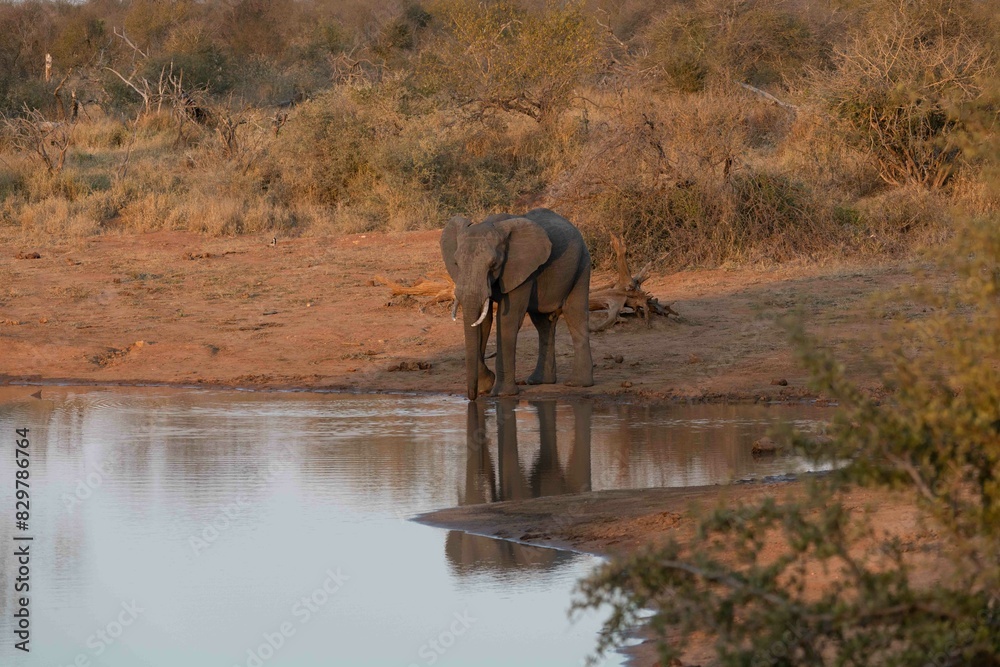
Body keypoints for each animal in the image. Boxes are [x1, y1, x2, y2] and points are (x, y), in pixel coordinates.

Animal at [440, 208, 594, 400]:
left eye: (494, 264)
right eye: (456, 263)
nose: (472, 397)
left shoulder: (521, 271)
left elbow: (508, 319)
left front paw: (501, 393)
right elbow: (483, 321)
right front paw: (486, 385)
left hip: (582, 263)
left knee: (575, 314)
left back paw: (577, 384)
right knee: (543, 323)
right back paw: (539, 381)